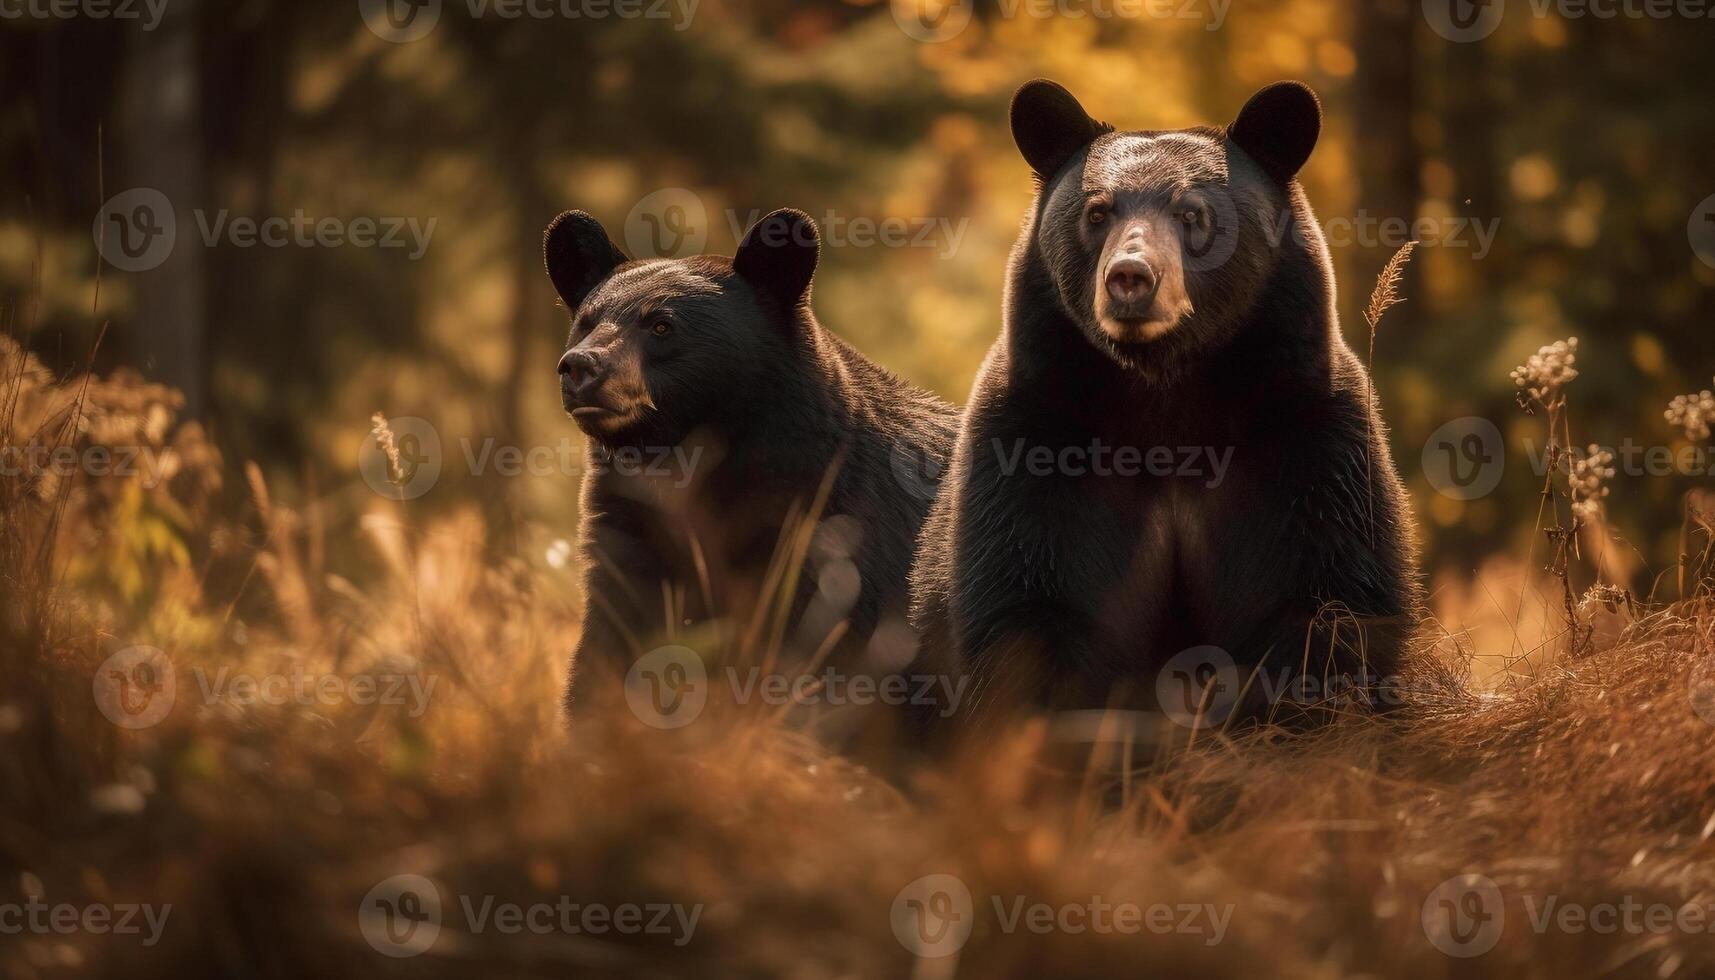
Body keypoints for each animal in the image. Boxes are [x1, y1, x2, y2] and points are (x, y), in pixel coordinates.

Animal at [541, 209, 960, 727]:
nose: (580, 366)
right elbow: (612, 647)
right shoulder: (632, 534)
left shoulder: (842, 545)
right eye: (586, 322)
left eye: (661, 325)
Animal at [912, 78, 1420, 734]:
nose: (1130, 277)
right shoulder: (1038, 434)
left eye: (1191, 213)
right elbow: (1028, 596)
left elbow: (1330, 590)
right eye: (1097, 211)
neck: (1167, 393)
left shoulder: (1306, 432)